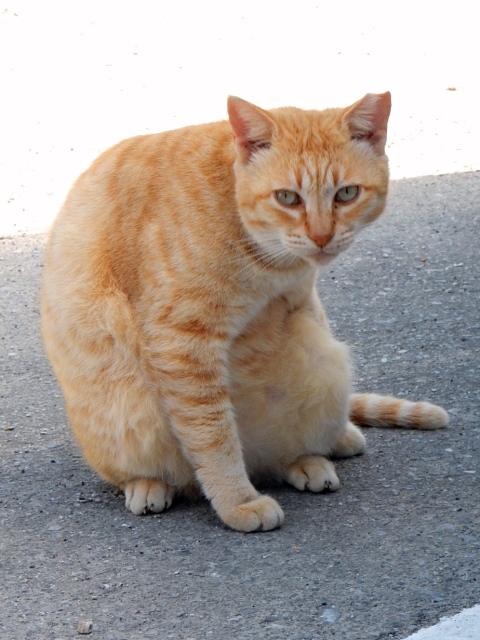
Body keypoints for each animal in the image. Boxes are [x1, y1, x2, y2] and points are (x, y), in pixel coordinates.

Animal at [41, 92, 448, 532]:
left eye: (346, 194)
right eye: (287, 197)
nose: (321, 236)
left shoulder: (302, 300)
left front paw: (336, 436)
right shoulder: (181, 343)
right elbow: (213, 434)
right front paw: (237, 500)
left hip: (325, 359)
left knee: (285, 450)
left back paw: (315, 456)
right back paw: (149, 486)